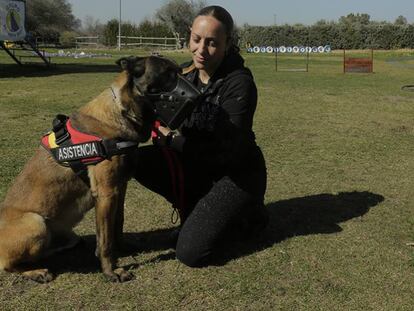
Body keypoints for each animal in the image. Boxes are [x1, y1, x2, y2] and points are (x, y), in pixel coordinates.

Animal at [0, 55, 180, 282]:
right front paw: (110, 271)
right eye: (168, 73)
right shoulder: (106, 193)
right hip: (37, 223)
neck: (120, 111)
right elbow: (105, 240)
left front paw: (122, 247)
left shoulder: (120, 188)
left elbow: (118, 223)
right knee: (8, 266)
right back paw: (36, 271)